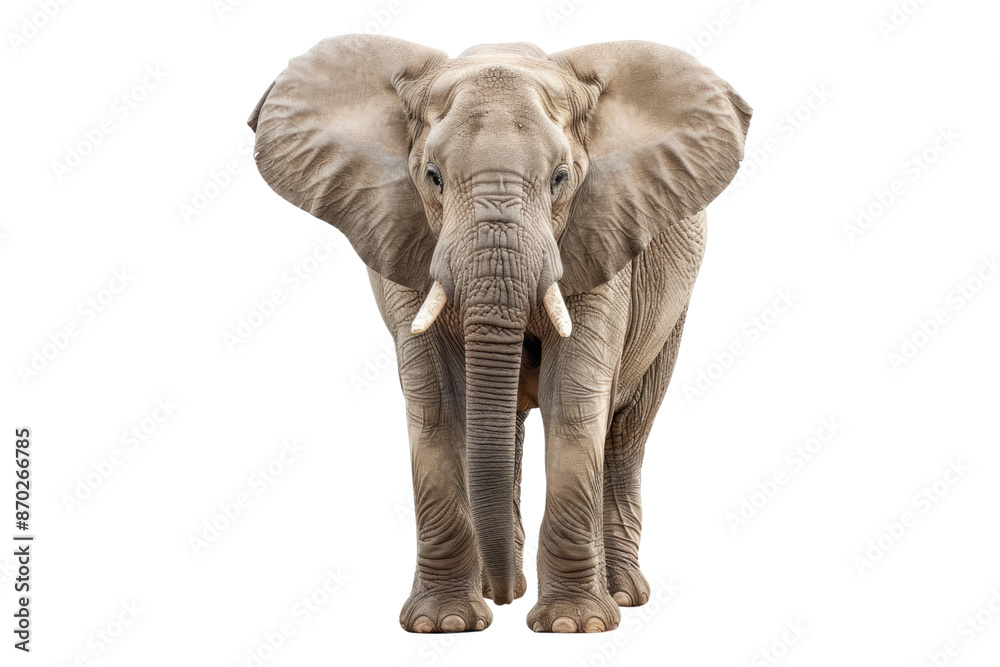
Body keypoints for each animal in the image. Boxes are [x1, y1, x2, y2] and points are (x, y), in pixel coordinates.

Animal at [248, 34, 750, 633]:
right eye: (433, 176)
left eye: (561, 178)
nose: (508, 600)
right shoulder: (405, 241)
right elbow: (438, 402)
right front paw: (446, 624)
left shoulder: (602, 233)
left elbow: (573, 398)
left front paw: (573, 627)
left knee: (626, 430)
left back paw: (620, 596)